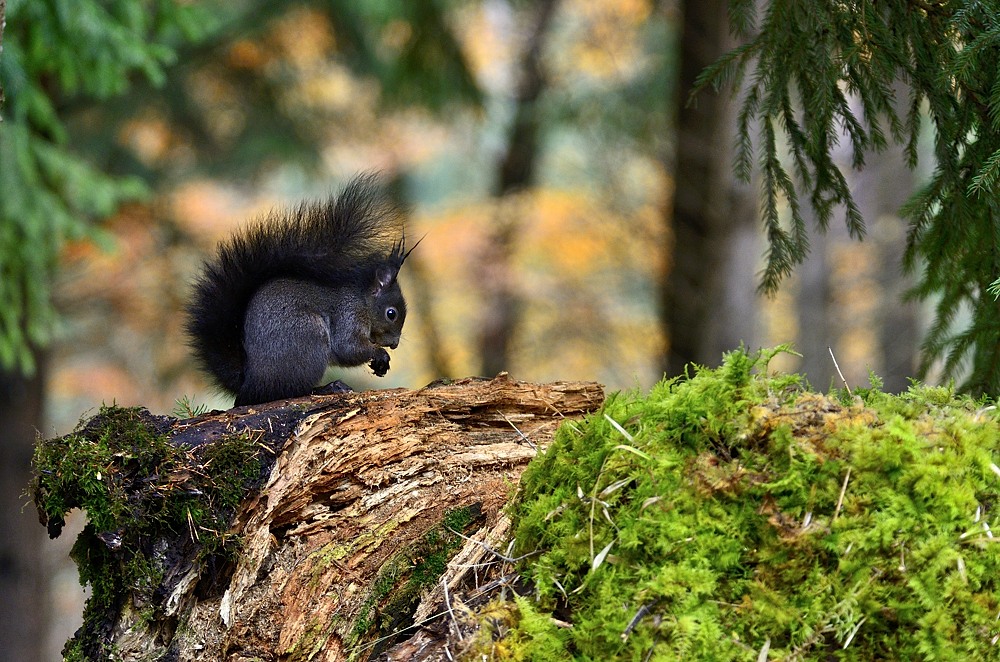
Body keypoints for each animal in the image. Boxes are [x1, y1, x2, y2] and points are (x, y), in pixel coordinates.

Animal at [185, 173, 416, 406]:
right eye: (391, 314)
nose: (395, 344)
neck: (363, 301)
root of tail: (251, 382)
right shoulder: (348, 315)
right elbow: (347, 347)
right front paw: (379, 354)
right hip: (308, 337)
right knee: (292, 390)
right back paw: (327, 388)